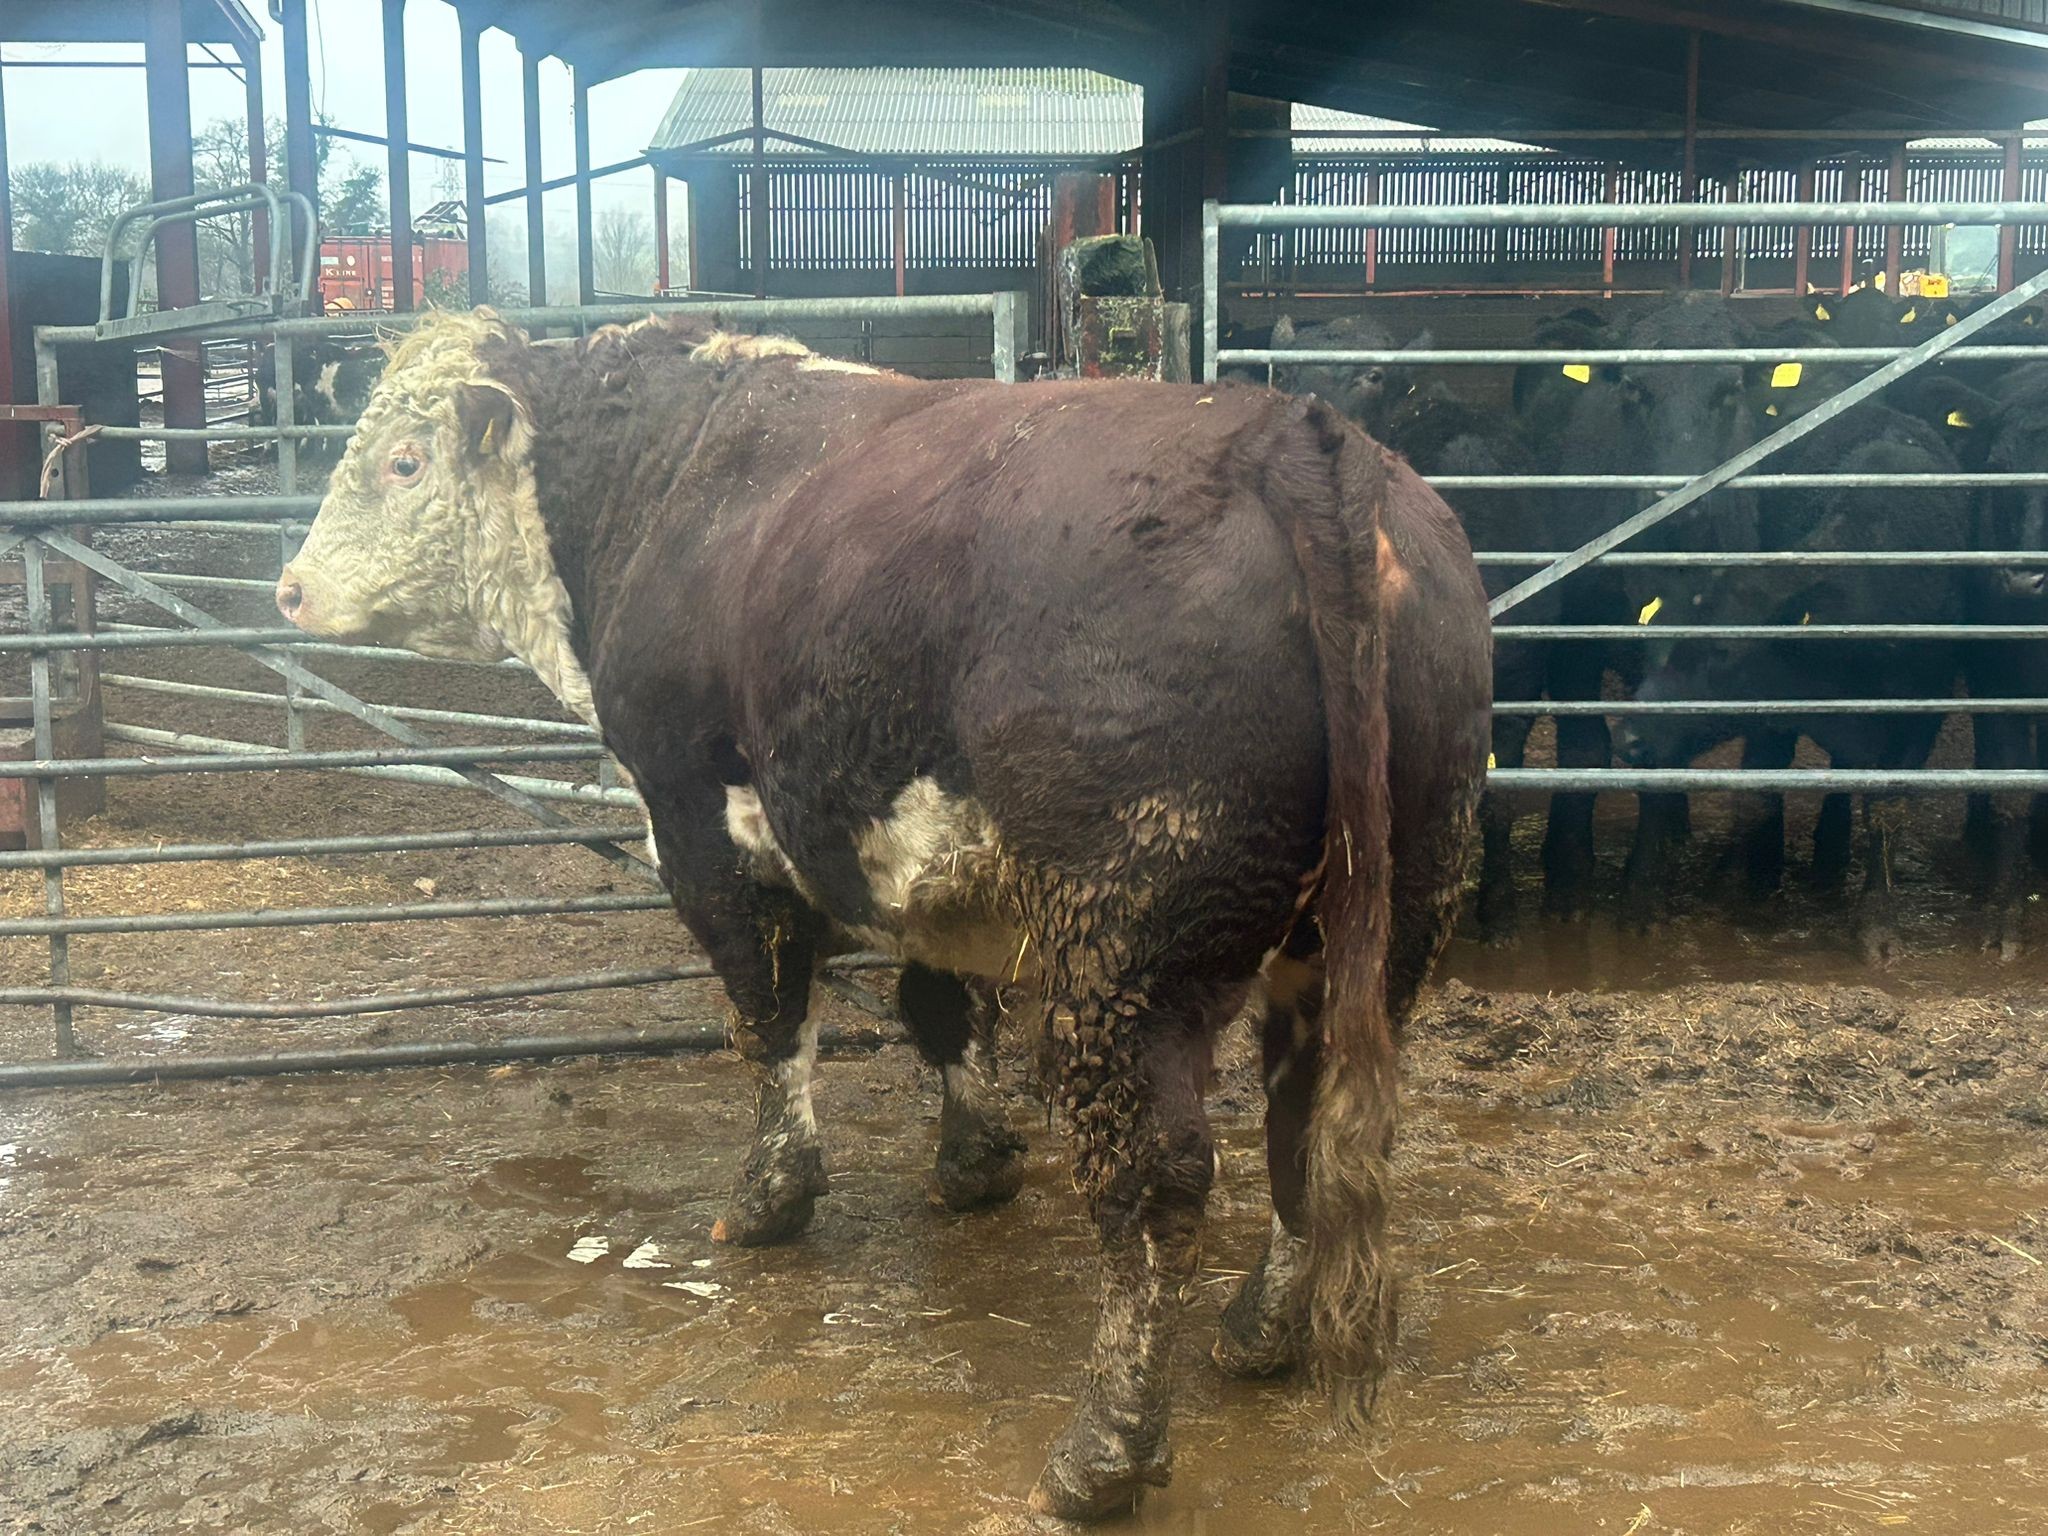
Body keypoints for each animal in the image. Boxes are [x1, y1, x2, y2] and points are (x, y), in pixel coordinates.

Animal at [274, 309, 1492, 1519]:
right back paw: (1260, 1329)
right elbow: (938, 1006)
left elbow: (769, 1015)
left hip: (1126, 952)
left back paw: (1103, 1449)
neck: (666, 476)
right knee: (1307, 1120)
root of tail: (1293, 438)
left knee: (1156, 1179)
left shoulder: (699, 822)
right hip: (1381, 917)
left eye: (403, 462)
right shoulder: (926, 867)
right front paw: (975, 1160)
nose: (287, 590)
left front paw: (769, 1196)